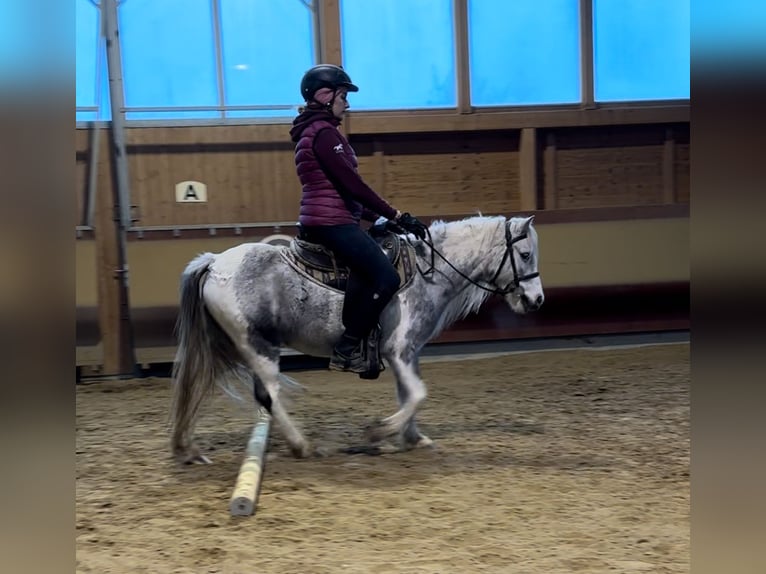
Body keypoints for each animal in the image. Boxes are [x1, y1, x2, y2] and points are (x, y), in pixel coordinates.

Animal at [172, 214, 548, 466]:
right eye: (525, 254)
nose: (537, 300)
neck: (426, 271)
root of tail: (215, 262)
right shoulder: (399, 350)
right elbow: (418, 394)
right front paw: (378, 433)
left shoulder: (407, 353)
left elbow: (409, 394)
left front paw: (412, 439)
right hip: (259, 347)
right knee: (269, 398)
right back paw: (303, 446)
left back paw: (190, 447)